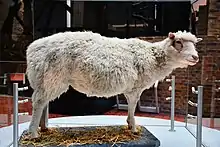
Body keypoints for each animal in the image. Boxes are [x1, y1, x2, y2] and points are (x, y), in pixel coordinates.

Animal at [26, 30, 203, 138]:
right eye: (178, 42)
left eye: (194, 44)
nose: (195, 57)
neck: (154, 57)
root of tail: (32, 49)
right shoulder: (135, 88)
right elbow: (132, 106)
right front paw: (133, 127)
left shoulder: (131, 88)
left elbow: (131, 106)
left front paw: (129, 124)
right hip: (53, 77)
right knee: (39, 102)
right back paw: (34, 132)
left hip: (45, 81)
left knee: (43, 102)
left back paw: (44, 128)